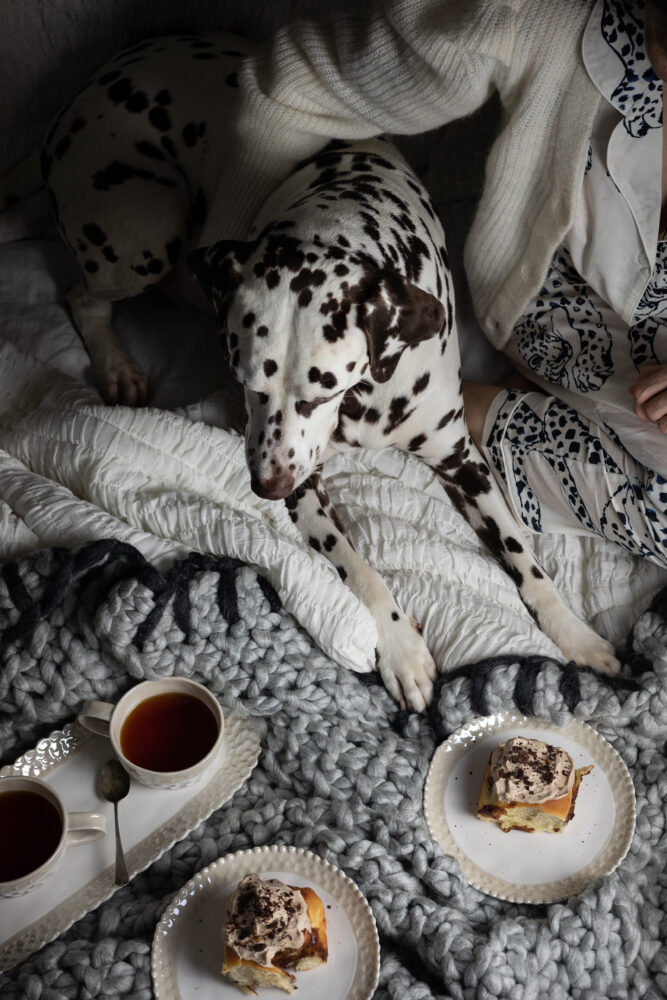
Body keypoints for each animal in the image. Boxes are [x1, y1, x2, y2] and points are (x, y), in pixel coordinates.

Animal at [2, 33, 624, 712]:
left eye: (321, 390)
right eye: (246, 381)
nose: (267, 486)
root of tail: (84, 95)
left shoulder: (460, 459)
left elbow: (521, 554)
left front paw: (574, 633)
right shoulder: (304, 481)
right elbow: (358, 567)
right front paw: (400, 648)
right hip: (145, 227)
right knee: (84, 297)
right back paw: (117, 364)